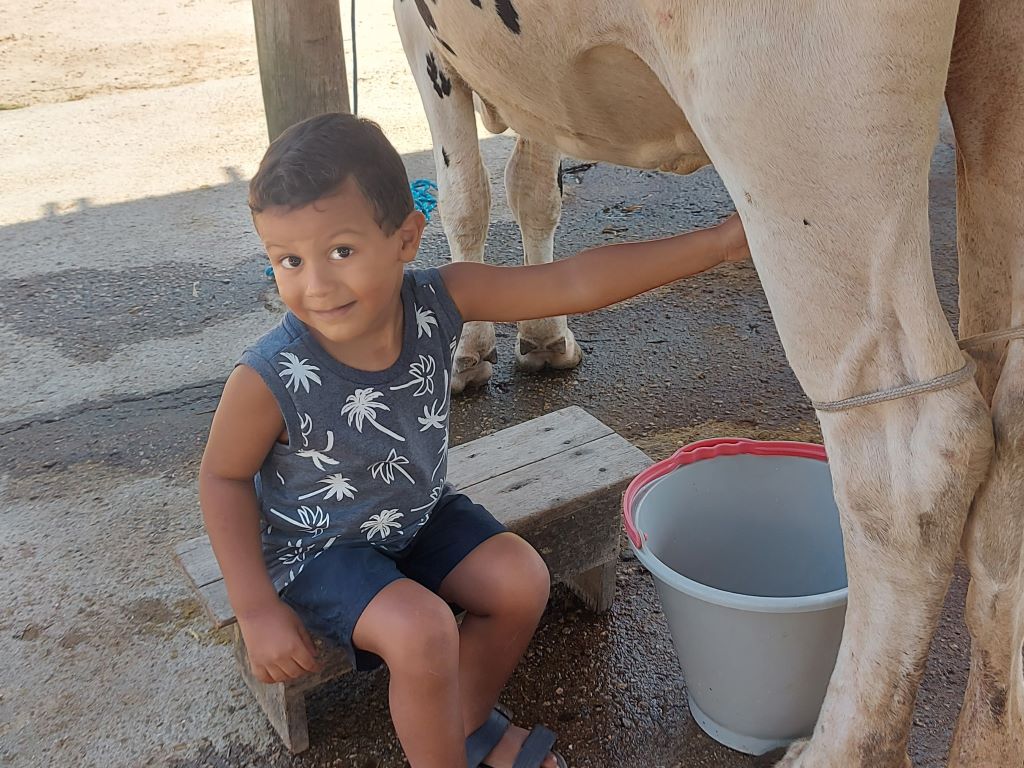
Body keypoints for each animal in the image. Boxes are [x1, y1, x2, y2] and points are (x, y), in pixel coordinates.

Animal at [393, 1, 1024, 768]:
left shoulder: (424, 40)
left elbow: (466, 195)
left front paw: (468, 356)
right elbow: (533, 184)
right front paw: (543, 340)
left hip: (795, 117)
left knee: (916, 456)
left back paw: (835, 749)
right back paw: (985, 743)